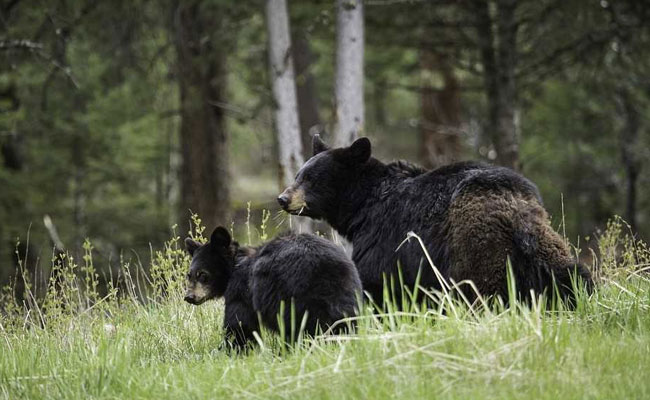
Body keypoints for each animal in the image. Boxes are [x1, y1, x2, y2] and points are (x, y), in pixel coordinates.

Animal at [184, 226, 362, 348]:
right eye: (189, 274)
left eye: (202, 274)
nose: (189, 297)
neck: (235, 265)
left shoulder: (242, 290)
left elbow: (240, 324)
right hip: (348, 292)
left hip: (290, 296)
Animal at [277, 135, 594, 308]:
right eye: (298, 174)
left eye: (311, 179)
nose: (283, 198)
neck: (362, 206)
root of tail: (515, 210)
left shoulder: (385, 237)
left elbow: (376, 281)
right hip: (545, 244)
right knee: (571, 275)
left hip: (476, 246)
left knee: (481, 289)